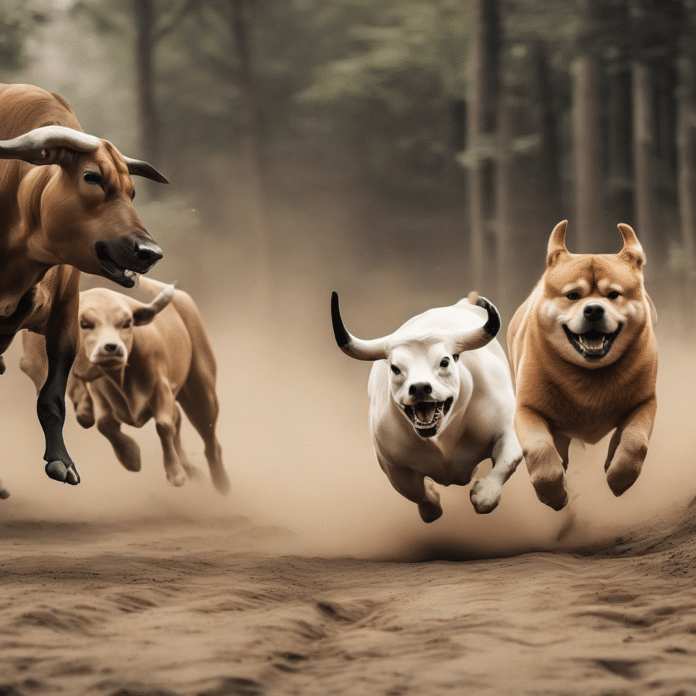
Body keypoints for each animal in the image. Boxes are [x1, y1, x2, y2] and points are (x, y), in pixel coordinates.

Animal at [0, 82, 168, 497]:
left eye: (132, 191)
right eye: (92, 177)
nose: (150, 252)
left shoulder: (64, 318)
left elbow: (52, 398)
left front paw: (61, 461)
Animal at [20, 277, 231, 495]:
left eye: (126, 323)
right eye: (85, 324)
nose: (111, 347)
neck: (122, 378)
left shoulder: (161, 387)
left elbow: (164, 425)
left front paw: (175, 475)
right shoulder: (100, 392)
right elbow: (104, 424)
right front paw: (132, 457)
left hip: (200, 388)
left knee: (210, 439)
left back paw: (221, 483)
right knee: (178, 421)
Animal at [331, 292, 523, 523]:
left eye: (445, 361)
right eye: (395, 368)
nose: (420, 387)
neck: (443, 440)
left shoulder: (507, 428)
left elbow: (507, 462)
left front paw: (484, 492)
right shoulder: (392, 464)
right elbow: (416, 493)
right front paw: (431, 499)